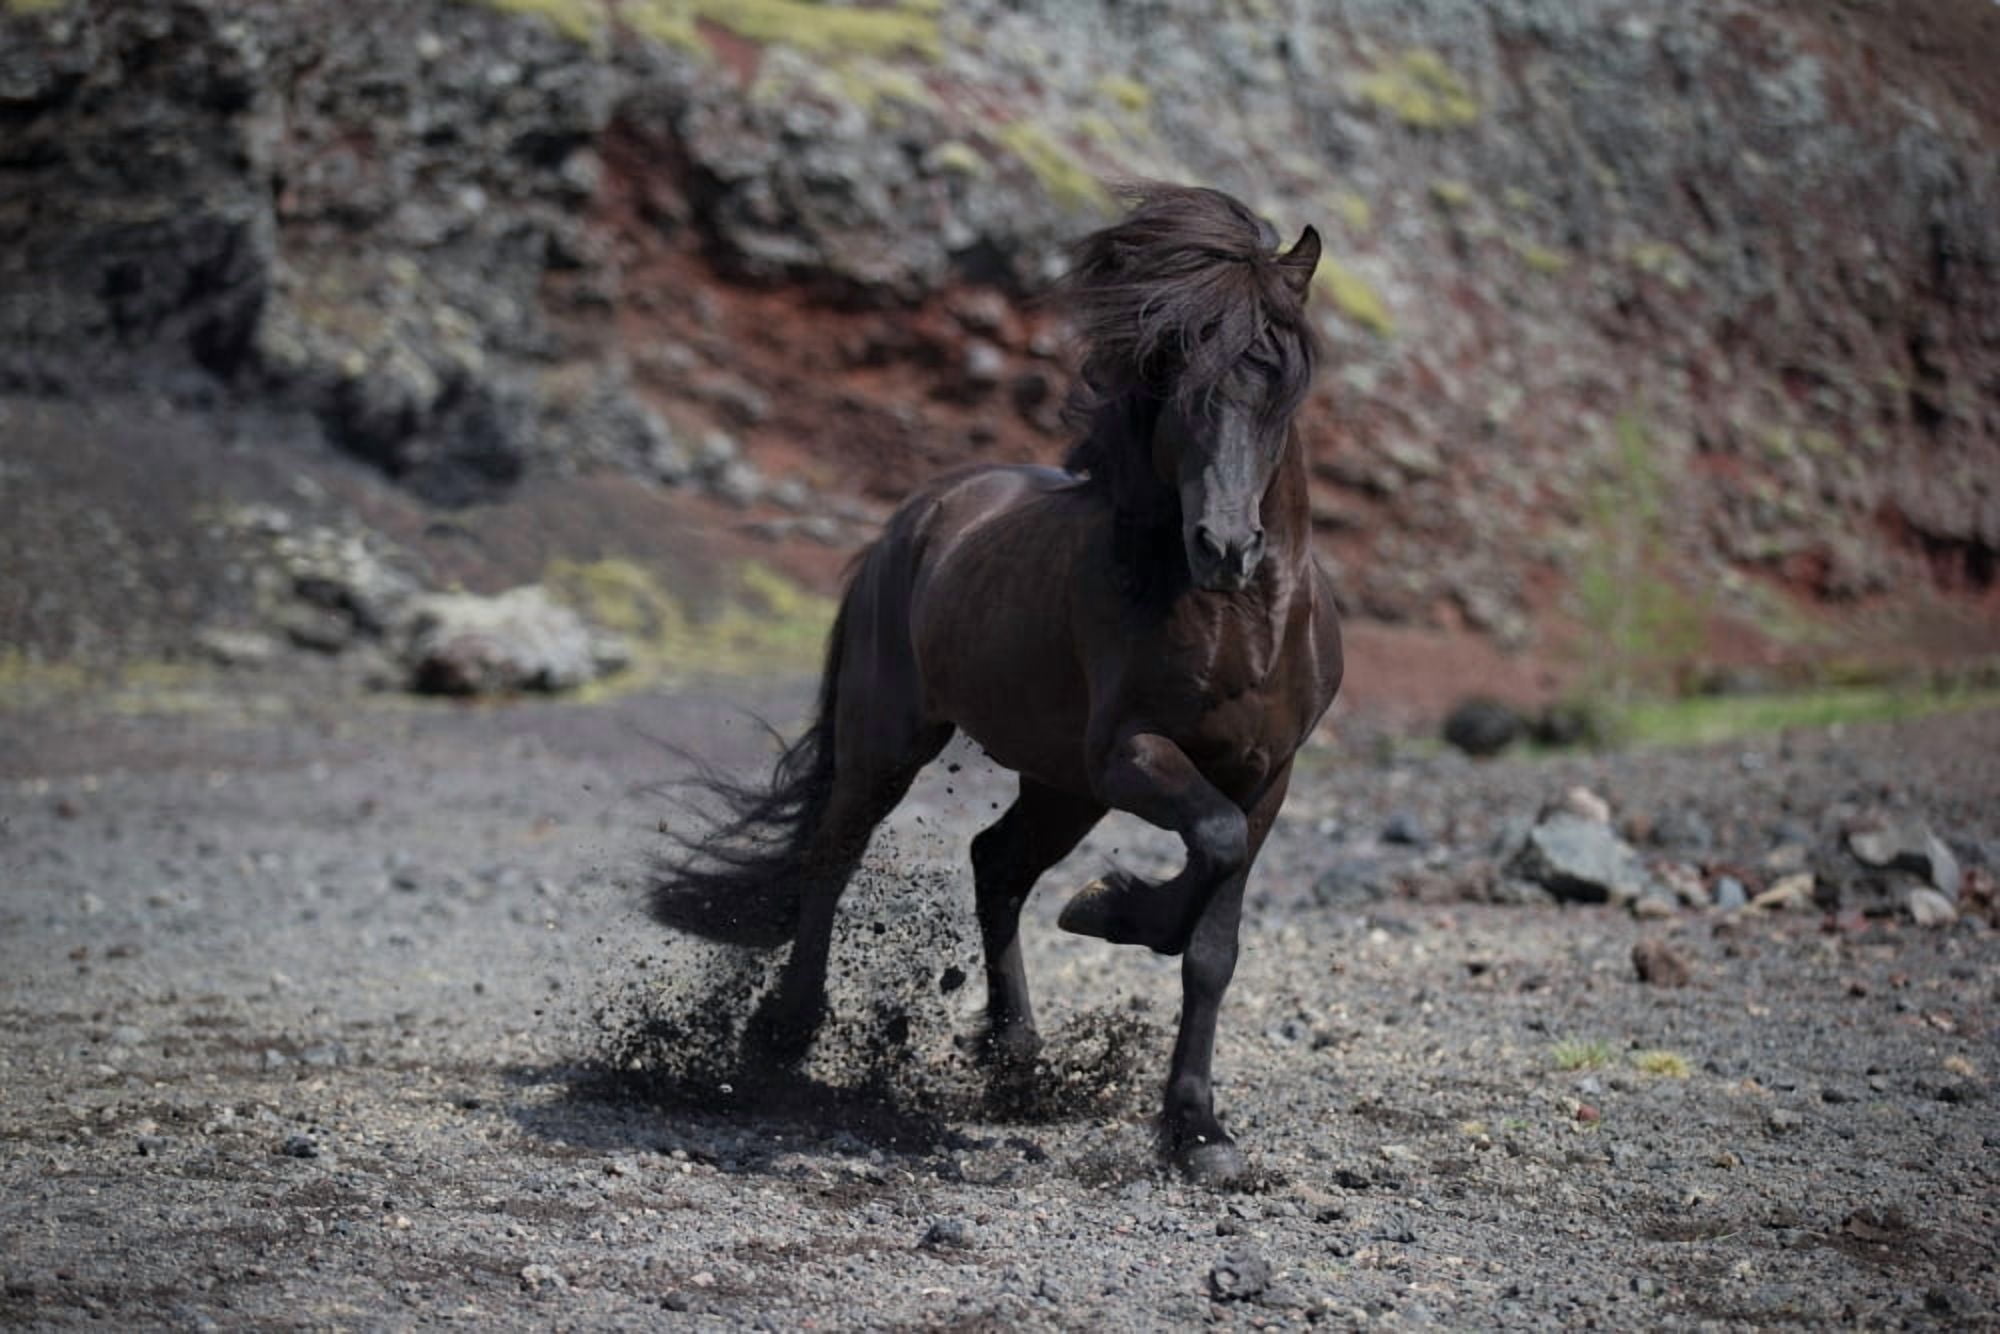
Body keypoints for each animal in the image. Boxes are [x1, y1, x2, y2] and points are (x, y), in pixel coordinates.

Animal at [652, 184, 1344, 1186]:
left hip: (1062, 785)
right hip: (897, 742)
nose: (1224, 546)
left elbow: (1212, 944)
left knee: (997, 864)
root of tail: (917, 518)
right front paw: (1114, 909)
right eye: (1176, 381)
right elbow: (1206, 848)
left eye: (1279, 380)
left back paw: (1015, 1049)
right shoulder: (1133, 754)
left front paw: (1198, 1131)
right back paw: (783, 1034)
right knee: (835, 854)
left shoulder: (1267, 777)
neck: (1239, 627)